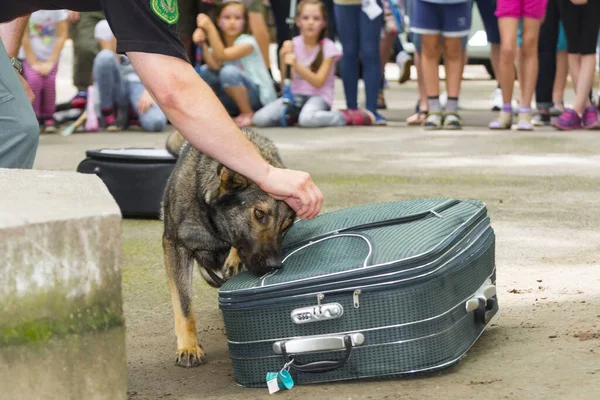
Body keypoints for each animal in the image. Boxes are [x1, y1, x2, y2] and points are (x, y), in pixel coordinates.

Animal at [162, 130, 296, 368]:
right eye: (259, 214)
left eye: (286, 226)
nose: (274, 265)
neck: (211, 224)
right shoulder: (174, 247)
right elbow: (184, 305)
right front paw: (189, 347)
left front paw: (235, 258)